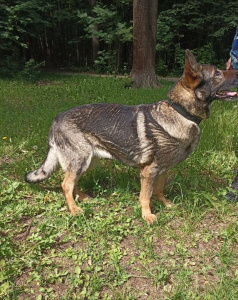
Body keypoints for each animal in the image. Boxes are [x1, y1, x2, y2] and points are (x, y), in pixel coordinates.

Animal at [24, 50, 238, 224]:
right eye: (217, 73)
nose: (236, 69)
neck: (181, 112)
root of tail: (56, 119)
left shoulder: (162, 169)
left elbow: (159, 190)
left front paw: (165, 203)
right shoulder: (148, 171)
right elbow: (145, 196)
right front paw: (147, 215)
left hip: (89, 161)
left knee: (71, 182)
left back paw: (82, 198)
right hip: (81, 160)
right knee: (66, 184)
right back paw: (74, 209)